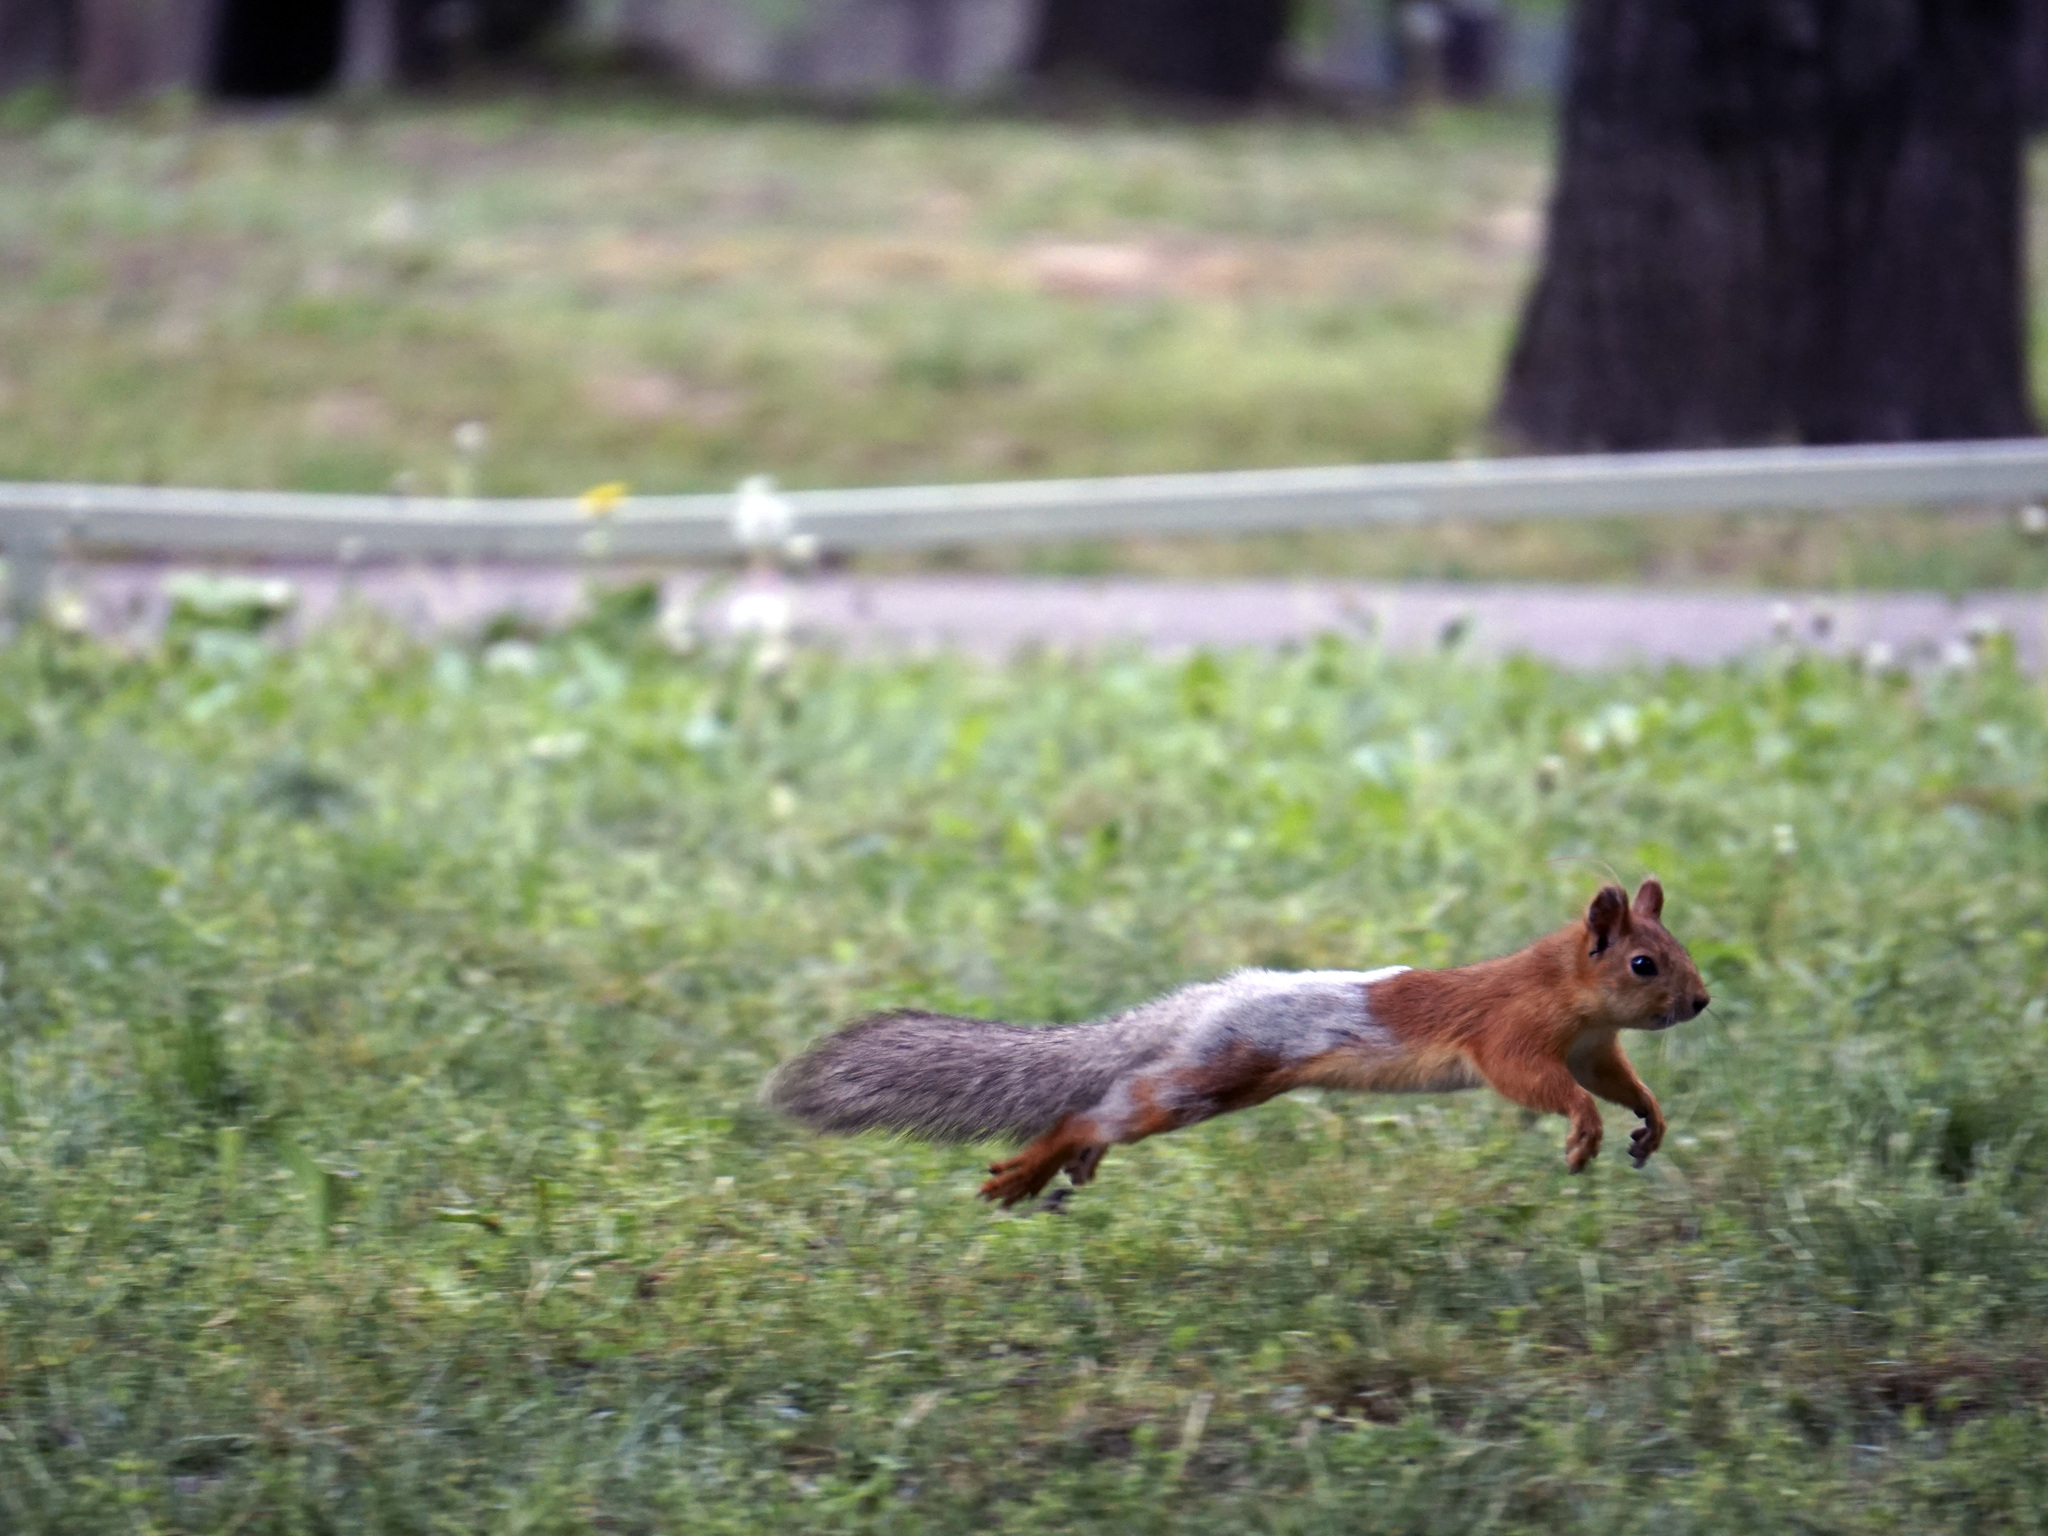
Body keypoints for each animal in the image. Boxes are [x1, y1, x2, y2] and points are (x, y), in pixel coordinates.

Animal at [761, 884, 1703, 1212]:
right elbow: (1539, 1084)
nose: (1699, 1001)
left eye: (1678, 945)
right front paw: (1581, 1131)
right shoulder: (1507, 1034)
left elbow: (1617, 1081)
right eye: (1642, 961)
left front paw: (1648, 1124)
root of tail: (1208, 1001)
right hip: (1213, 1074)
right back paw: (1030, 1169)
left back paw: (1072, 1167)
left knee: (1106, 1108)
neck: (1563, 988)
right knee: (1097, 1109)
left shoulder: (1592, 1046)